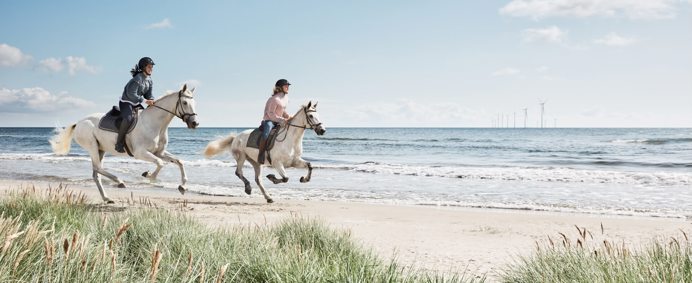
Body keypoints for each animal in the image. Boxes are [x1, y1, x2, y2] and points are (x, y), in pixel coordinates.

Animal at [49, 85, 199, 204]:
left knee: (96, 174)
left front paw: (182, 186)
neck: (155, 124)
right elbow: (160, 163)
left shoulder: (159, 153)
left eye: (194, 102)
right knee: (98, 168)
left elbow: (179, 161)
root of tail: (79, 122)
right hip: (92, 146)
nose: (195, 123)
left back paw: (107, 198)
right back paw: (120, 182)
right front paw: (149, 176)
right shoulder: (140, 153)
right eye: (185, 102)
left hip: (100, 149)